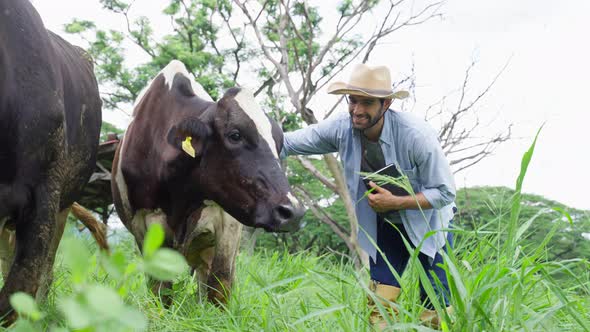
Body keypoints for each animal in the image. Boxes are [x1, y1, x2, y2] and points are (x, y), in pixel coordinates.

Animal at [112, 59, 306, 304]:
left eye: (279, 144)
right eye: (235, 135)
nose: (293, 212)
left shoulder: (228, 222)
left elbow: (220, 284)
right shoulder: (144, 221)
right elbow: (160, 288)